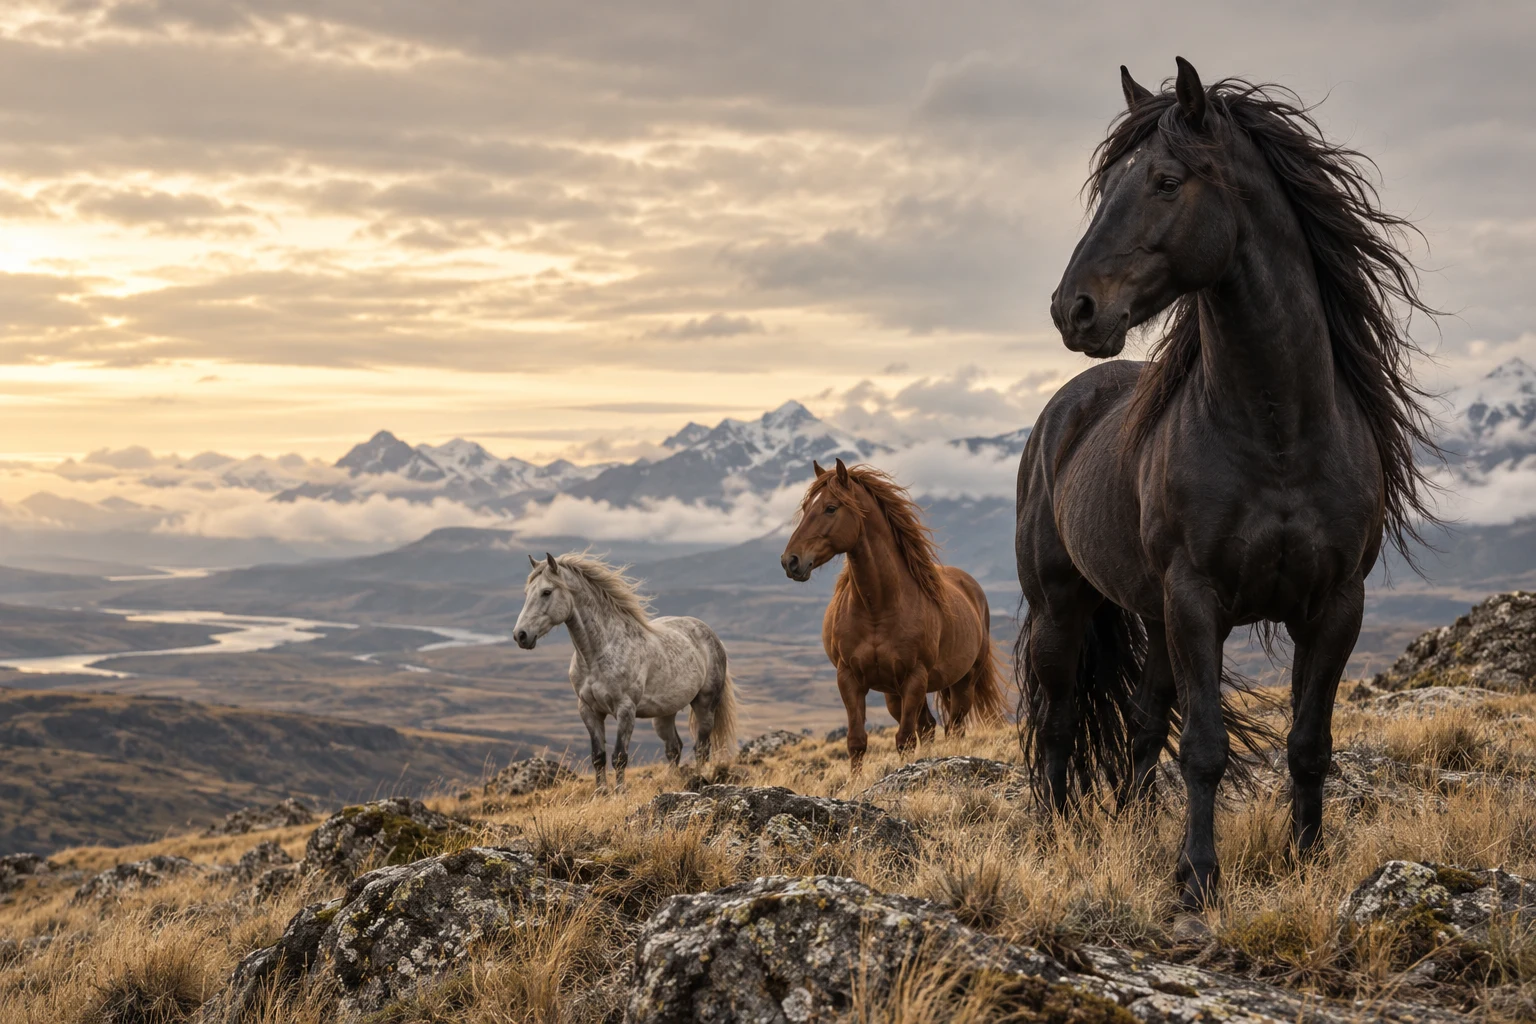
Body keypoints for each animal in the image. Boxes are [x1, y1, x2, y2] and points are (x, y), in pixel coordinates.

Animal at [513, 552, 738, 791]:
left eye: (546, 592)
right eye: (527, 593)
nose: (520, 635)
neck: (597, 654)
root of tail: (707, 631)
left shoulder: (625, 709)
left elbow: (619, 756)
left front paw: (619, 791)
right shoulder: (588, 710)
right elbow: (598, 756)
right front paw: (601, 792)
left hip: (704, 704)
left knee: (702, 747)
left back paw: (698, 779)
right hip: (665, 713)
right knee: (674, 747)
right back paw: (670, 781)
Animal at [781, 459, 1008, 771]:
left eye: (831, 508)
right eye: (805, 509)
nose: (790, 561)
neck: (878, 608)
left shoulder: (914, 677)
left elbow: (905, 740)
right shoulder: (849, 678)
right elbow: (857, 742)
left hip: (962, 683)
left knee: (953, 728)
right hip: (894, 693)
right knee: (929, 727)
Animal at [1015, 58, 1439, 910]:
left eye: (1166, 181)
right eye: (1106, 187)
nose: (1074, 310)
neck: (1278, 433)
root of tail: (1064, 410)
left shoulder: (1336, 605)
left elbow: (1308, 743)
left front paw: (1306, 857)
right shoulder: (1196, 598)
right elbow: (1205, 745)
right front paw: (1197, 880)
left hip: (1149, 614)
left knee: (1143, 721)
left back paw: (1135, 827)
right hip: (1063, 607)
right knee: (1060, 720)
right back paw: (1054, 832)